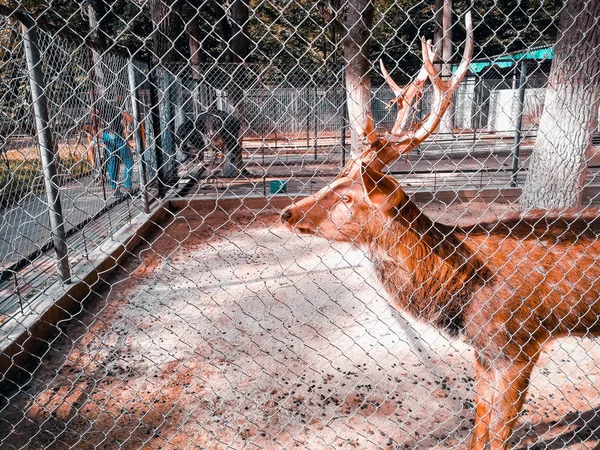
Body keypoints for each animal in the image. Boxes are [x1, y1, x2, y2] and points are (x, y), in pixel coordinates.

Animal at [278, 11, 600, 450]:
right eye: (336, 178)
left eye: (348, 196)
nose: (287, 212)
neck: (463, 293)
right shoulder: (483, 351)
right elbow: (480, 421)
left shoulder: (519, 345)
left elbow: (500, 431)